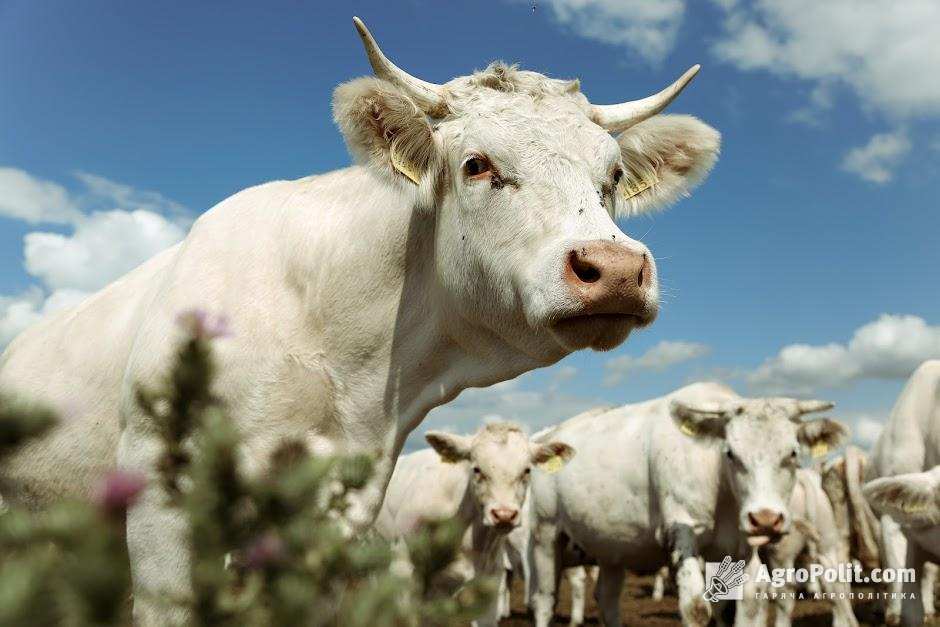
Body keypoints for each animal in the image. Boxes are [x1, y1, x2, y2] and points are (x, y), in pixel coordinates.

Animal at [524, 382, 848, 627]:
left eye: (792, 453)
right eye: (730, 453)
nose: (765, 519)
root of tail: (550, 437)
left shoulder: (741, 548)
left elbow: (742, 608)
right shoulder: (682, 534)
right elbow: (696, 609)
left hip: (611, 546)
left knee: (607, 599)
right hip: (545, 534)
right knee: (545, 599)